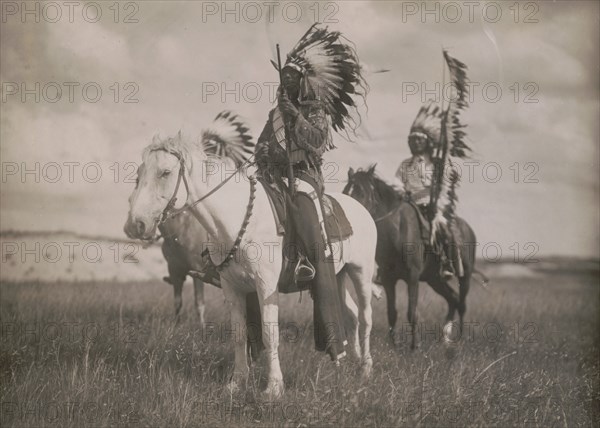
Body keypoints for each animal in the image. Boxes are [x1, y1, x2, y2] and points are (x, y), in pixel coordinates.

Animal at [124, 133, 378, 398]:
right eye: (139, 173)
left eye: (165, 172)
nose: (135, 225)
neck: (238, 218)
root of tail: (361, 209)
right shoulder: (232, 288)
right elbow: (239, 334)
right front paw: (237, 382)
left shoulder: (266, 286)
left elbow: (269, 333)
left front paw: (274, 387)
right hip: (339, 276)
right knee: (351, 314)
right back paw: (350, 361)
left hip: (361, 272)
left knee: (365, 316)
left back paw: (365, 369)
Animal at [342, 166, 478, 350]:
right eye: (345, 192)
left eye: (361, 192)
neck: (397, 230)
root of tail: (468, 229)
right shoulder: (388, 279)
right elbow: (392, 313)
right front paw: (394, 345)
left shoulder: (412, 277)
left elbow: (412, 312)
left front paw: (414, 347)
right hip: (435, 280)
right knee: (453, 299)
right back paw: (445, 338)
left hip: (465, 276)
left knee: (462, 304)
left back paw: (460, 338)